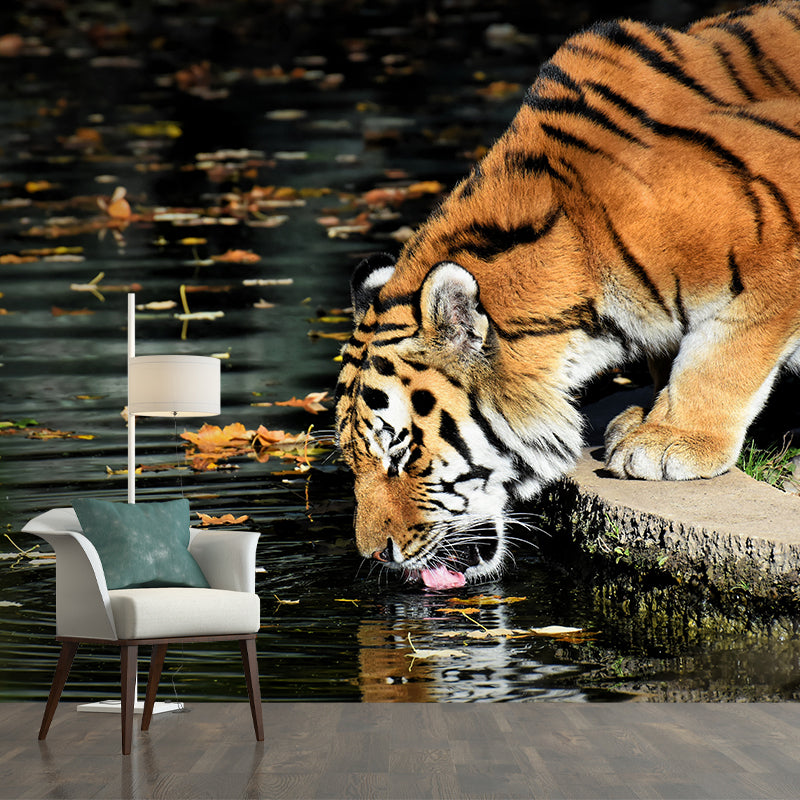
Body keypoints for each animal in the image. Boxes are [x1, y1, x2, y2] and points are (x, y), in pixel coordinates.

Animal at [334, 1, 800, 590]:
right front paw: (646, 416)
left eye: (398, 452)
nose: (375, 555)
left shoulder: (775, 259)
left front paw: (671, 440)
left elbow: (724, 354)